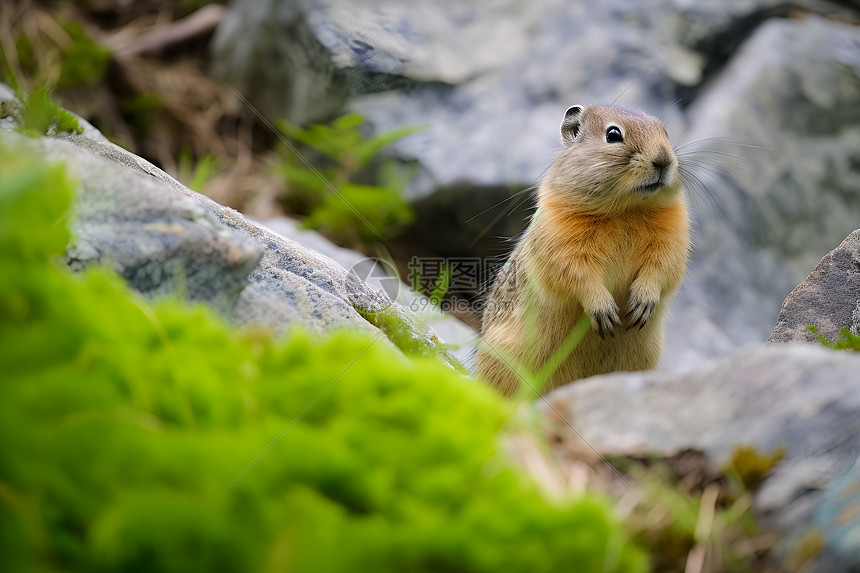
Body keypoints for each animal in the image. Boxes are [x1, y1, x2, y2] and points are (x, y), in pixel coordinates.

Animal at [478, 103, 692, 396]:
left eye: (665, 132)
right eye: (613, 134)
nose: (663, 159)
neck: (627, 211)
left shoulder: (671, 243)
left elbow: (661, 271)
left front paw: (641, 305)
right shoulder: (563, 248)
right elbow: (580, 278)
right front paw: (606, 313)